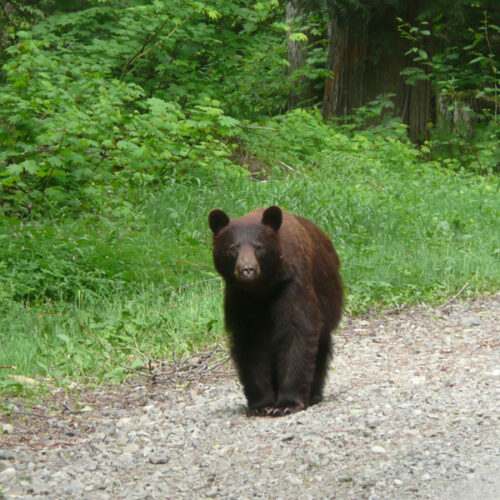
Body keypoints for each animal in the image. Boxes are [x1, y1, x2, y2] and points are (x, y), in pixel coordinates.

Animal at [208, 205, 344, 416]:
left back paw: (313, 394)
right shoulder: (240, 297)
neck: (262, 288)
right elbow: (250, 341)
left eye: (259, 247)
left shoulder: (292, 284)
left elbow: (297, 329)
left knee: (320, 348)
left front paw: (288, 403)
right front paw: (261, 404)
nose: (247, 269)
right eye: (233, 248)